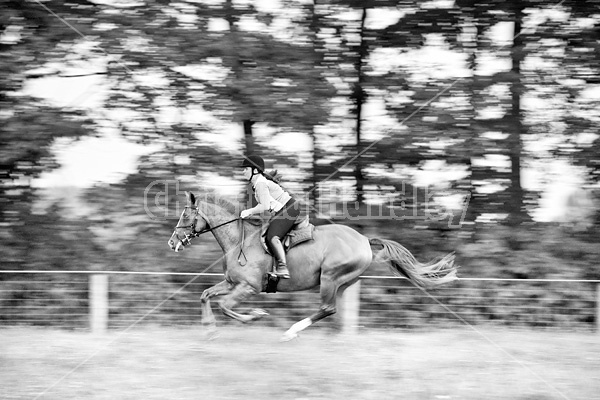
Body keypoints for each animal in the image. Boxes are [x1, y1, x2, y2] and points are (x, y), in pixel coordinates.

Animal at [166, 191, 458, 340]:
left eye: (185, 216)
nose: (172, 243)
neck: (240, 240)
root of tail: (364, 239)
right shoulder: (231, 283)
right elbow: (206, 295)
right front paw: (209, 328)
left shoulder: (248, 287)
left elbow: (226, 306)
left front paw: (255, 315)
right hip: (344, 281)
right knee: (334, 310)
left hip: (329, 277)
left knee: (327, 308)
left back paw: (291, 332)